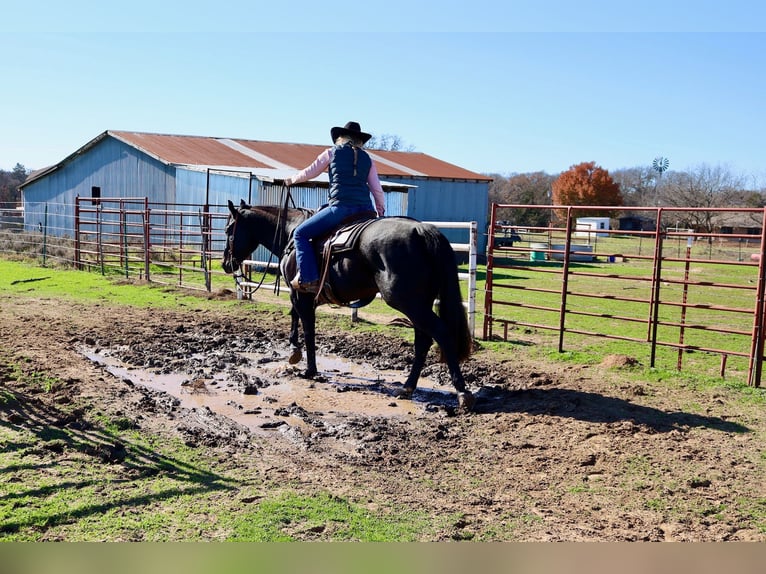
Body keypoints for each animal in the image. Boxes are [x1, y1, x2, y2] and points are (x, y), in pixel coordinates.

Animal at [219, 200, 476, 412]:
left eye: (228, 230)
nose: (225, 263)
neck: (291, 231)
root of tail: (422, 231)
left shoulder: (301, 294)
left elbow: (308, 328)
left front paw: (309, 369)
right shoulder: (302, 294)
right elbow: (294, 317)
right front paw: (294, 351)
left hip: (409, 303)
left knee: (440, 333)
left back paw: (462, 392)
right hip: (420, 304)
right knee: (423, 340)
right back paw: (407, 387)